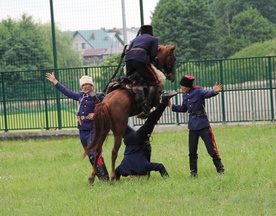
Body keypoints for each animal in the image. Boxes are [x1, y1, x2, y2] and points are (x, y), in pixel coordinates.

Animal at [83, 44, 177, 184]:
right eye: (173, 58)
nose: (172, 76)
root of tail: (105, 103)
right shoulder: (155, 99)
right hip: (119, 129)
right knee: (114, 151)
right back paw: (112, 177)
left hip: (103, 130)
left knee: (97, 150)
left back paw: (92, 177)